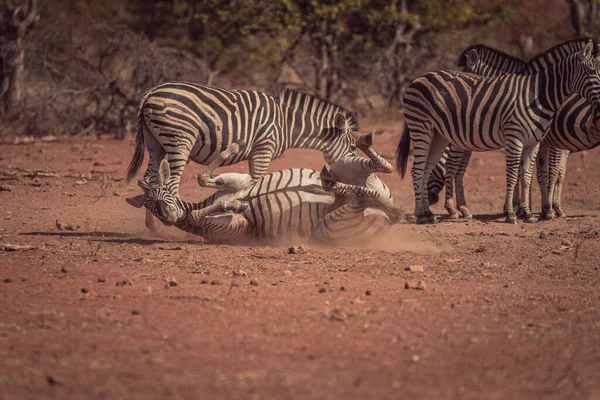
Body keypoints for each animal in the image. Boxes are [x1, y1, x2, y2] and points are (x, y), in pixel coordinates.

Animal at [124, 85, 358, 234]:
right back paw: (172, 216)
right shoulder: (264, 148)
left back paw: (152, 226)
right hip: (180, 139)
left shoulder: (257, 152)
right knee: (171, 181)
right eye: (354, 147)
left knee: (151, 179)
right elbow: (255, 181)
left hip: (155, 144)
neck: (288, 124)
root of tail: (151, 92)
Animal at [125, 134, 400, 244]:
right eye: (150, 206)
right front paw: (235, 204)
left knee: (381, 170)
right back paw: (330, 183)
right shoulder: (239, 226)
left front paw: (233, 147)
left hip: (345, 166)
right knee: (362, 196)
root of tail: (391, 216)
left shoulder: (239, 180)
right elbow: (202, 211)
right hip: (331, 225)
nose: (168, 219)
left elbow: (204, 178)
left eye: (163, 193)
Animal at [396, 38, 600, 225]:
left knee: (427, 168)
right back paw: (422, 215)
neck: (537, 96)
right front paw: (513, 213)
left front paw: (528, 213)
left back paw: (430, 213)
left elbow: (527, 177)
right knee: (417, 169)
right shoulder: (516, 139)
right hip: (421, 128)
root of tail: (418, 78)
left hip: (438, 135)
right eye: (591, 72)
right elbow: (514, 176)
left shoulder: (534, 143)